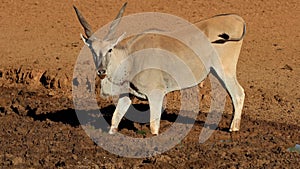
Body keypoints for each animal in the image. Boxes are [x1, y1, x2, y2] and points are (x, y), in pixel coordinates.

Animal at [74, 2, 245, 135]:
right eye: (93, 50)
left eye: (110, 49)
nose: (101, 71)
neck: (130, 57)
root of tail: (237, 18)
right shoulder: (128, 95)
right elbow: (115, 119)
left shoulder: (156, 94)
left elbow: (153, 126)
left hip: (224, 71)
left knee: (238, 93)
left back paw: (233, 129)